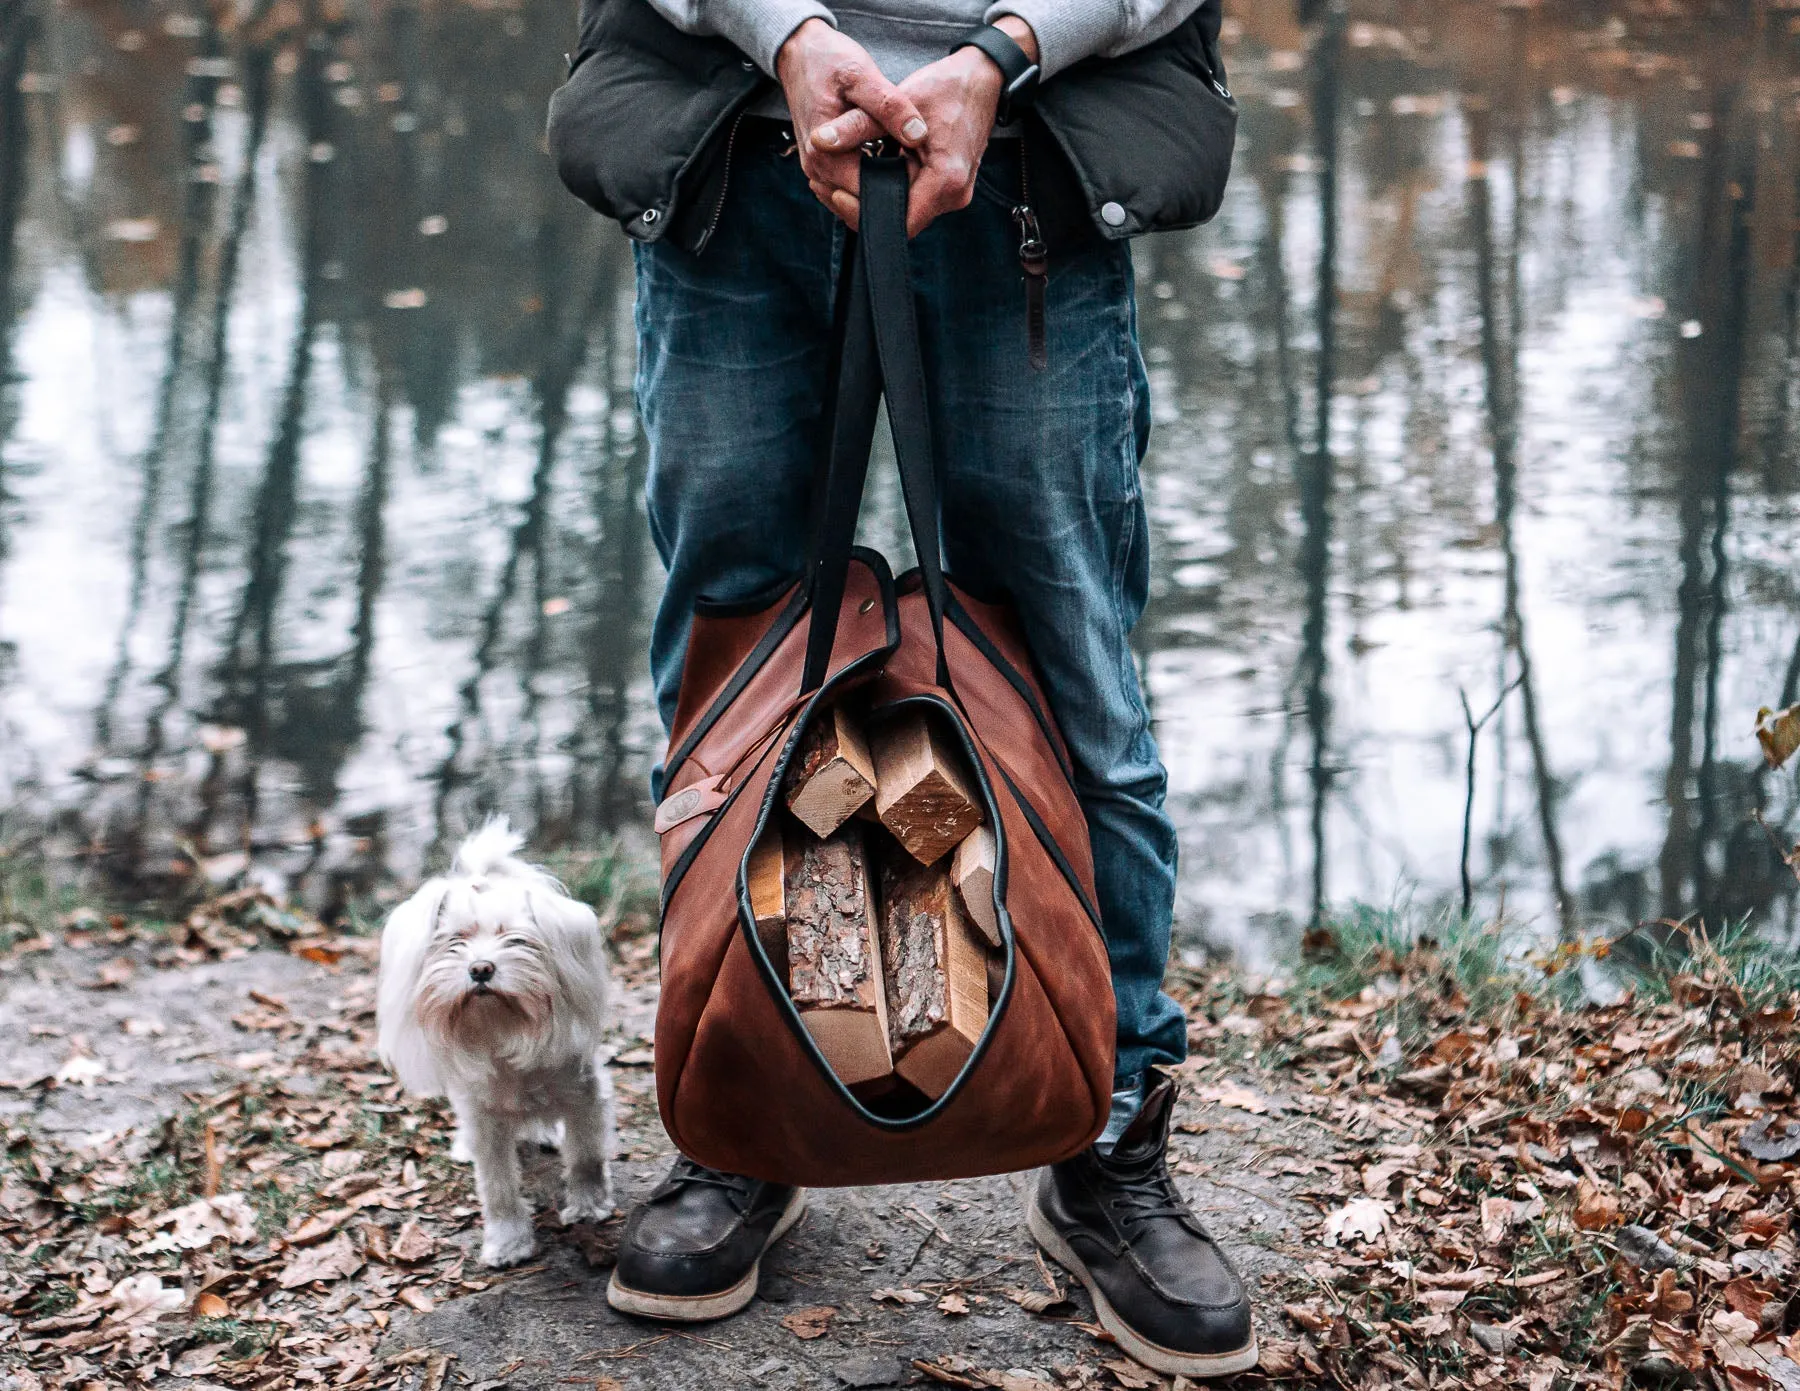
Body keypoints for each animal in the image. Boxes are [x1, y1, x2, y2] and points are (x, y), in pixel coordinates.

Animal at [376, 820, 615, 1266]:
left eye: (516, 940)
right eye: (455, 941)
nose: (481, 968)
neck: (503, 1029)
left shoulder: (583, 1095)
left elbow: (586, 1155)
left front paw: (590, 1206)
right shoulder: (485, 1121)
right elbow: (498, 1188)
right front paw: (508, 1242)